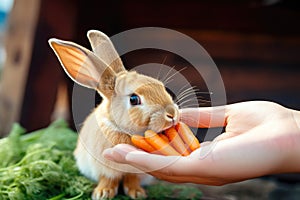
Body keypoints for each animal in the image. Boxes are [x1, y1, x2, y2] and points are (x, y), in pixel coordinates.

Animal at [47, 30, 178, 199]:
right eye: (134, 99)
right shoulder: (103, 166)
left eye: (161, 86)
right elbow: (108, 178)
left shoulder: (135, 171)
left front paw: (137, 193)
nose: (172, 114)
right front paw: (103, 193)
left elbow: (132, 179)